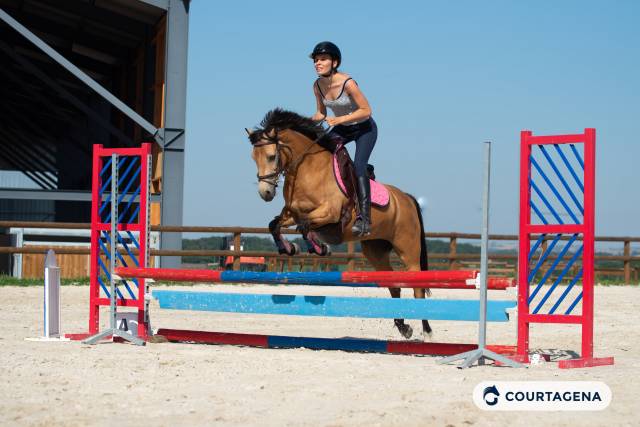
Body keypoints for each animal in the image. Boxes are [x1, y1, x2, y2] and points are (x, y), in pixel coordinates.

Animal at [247, 108, 431, 339]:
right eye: (253, 158)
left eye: (272, 156)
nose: (265, 193)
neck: (307, 169)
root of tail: (406, 198)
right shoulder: (292, 213)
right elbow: (275, 225)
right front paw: (290, 248)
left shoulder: (330, 213)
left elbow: (305, 227)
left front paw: (320, 248)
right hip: (375, 250)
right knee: (393, 285)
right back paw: (403, 327)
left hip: (408, 249)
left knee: (418, 287)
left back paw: (426, 330)